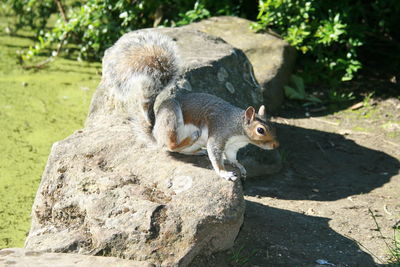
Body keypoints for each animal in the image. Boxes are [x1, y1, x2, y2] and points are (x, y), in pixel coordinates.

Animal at [101, 30, 280, 182]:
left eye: (272, 125)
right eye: (261, 130)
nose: (276, 145)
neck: (238, 128)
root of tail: (156, 134)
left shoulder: (232, 147)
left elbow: (231, 157)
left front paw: (239, 166)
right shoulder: (219, 133)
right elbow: (216, 155)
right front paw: (224, 173)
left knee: (177, 150)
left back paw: (199, 151)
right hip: (172, 118)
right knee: (171, 145)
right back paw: (190, 137)